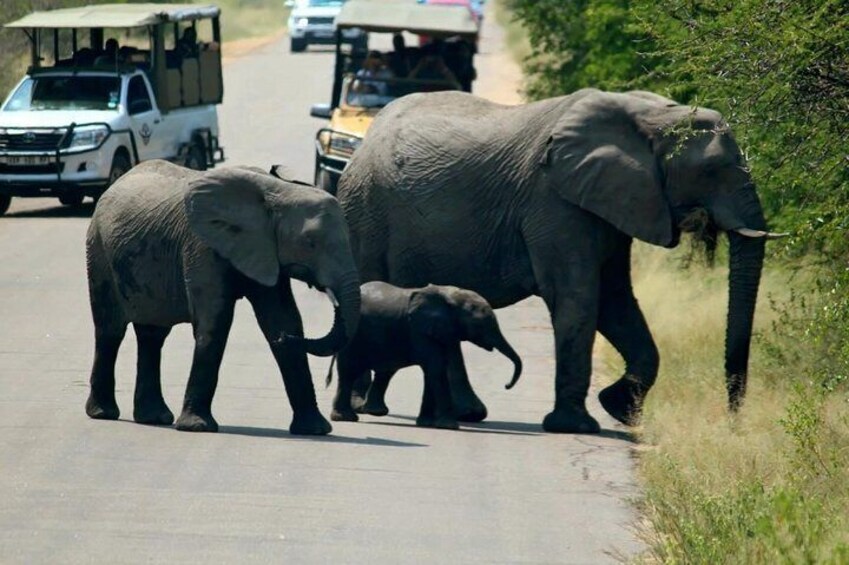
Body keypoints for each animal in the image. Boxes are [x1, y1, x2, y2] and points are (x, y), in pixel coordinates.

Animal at [87, 161, 362, 434]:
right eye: (310, 242)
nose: (285, 339)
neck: (278, 191)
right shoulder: (202, 245)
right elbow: (215, 322)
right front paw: (197, 427)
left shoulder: (265, 251)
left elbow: (282, 318)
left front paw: (315, 430)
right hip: (98, 251)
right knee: (110, 330)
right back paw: (103, 413)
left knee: (152, 335)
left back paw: (154, 418)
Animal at [328, 280, 520, 430]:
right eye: (479, 323)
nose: (506, 385)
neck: (451, 296)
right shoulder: (420, 331)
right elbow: (436, 369)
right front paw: (450, 426)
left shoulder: (441, 333)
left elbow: (433, 372)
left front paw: (427, 424)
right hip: (352, 336)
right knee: (348, 372)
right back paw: (346, 418)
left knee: (384, 371)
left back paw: (374, 413)